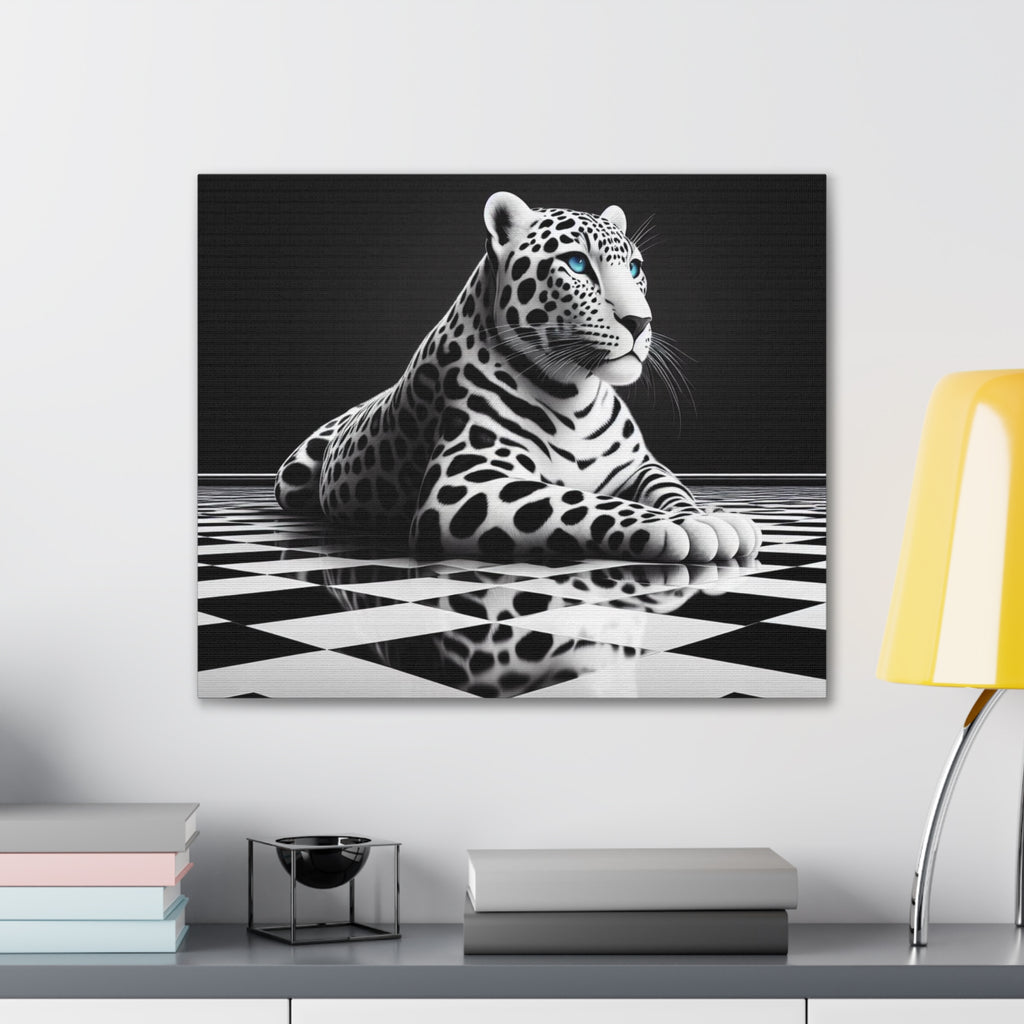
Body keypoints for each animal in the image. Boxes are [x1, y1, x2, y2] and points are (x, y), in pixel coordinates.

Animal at [275, 191, 762, 564]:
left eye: (635, 269)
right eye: (577, 265)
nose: (640, 322)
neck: (576, 394)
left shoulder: (639, 466)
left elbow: (671, 488)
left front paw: (705, 513)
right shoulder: (465, 484)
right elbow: (582, 501)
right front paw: (680, 528)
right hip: (292, 477)